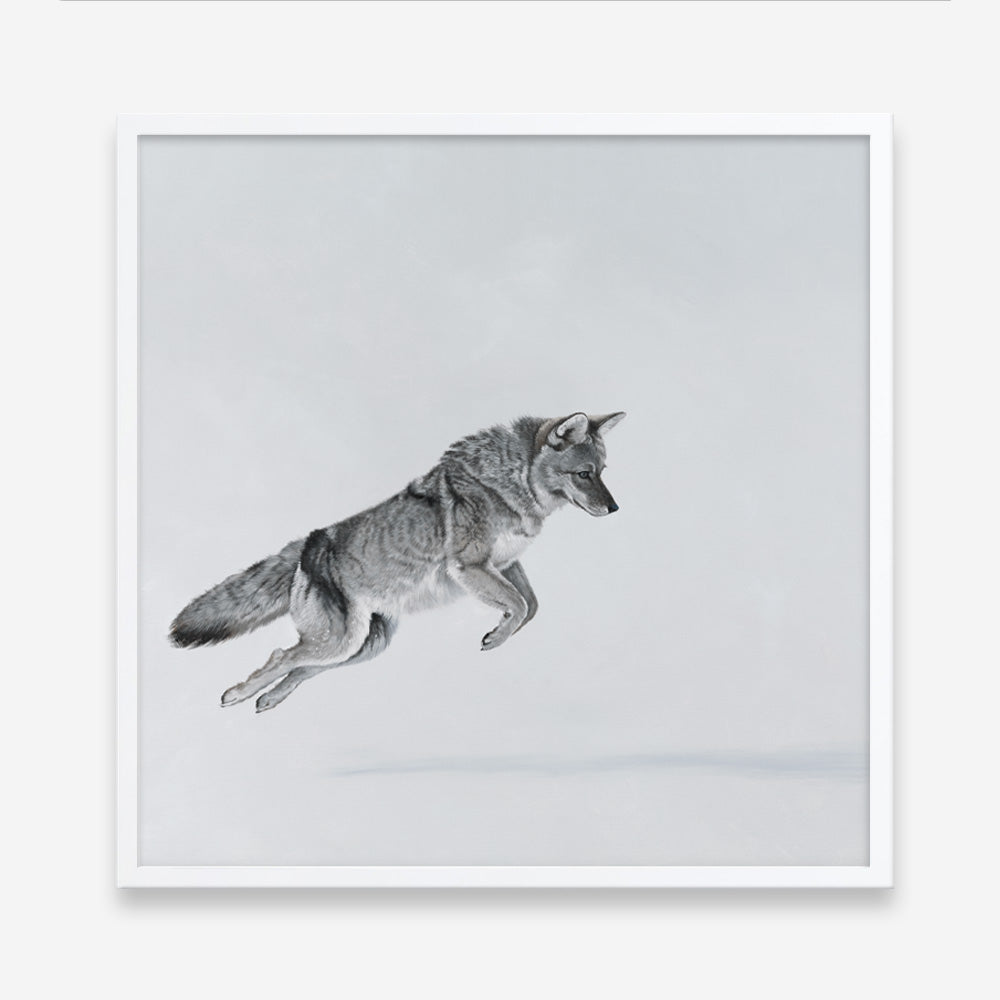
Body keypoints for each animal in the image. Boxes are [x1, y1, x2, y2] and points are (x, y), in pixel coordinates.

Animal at [170, 411, 625, 713]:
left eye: (603, 471)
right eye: (584, 474)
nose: (615, 508)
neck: (511, 483)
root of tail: (309, 543)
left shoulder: (505, 565)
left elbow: (530, 607)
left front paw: (498, 632)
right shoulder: (471, 568)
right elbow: (520, 605)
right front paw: (495, 638)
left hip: (358, 649)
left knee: (302, 667)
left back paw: (267, 699)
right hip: (339, 643)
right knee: (282, 656)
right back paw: (237, 695)